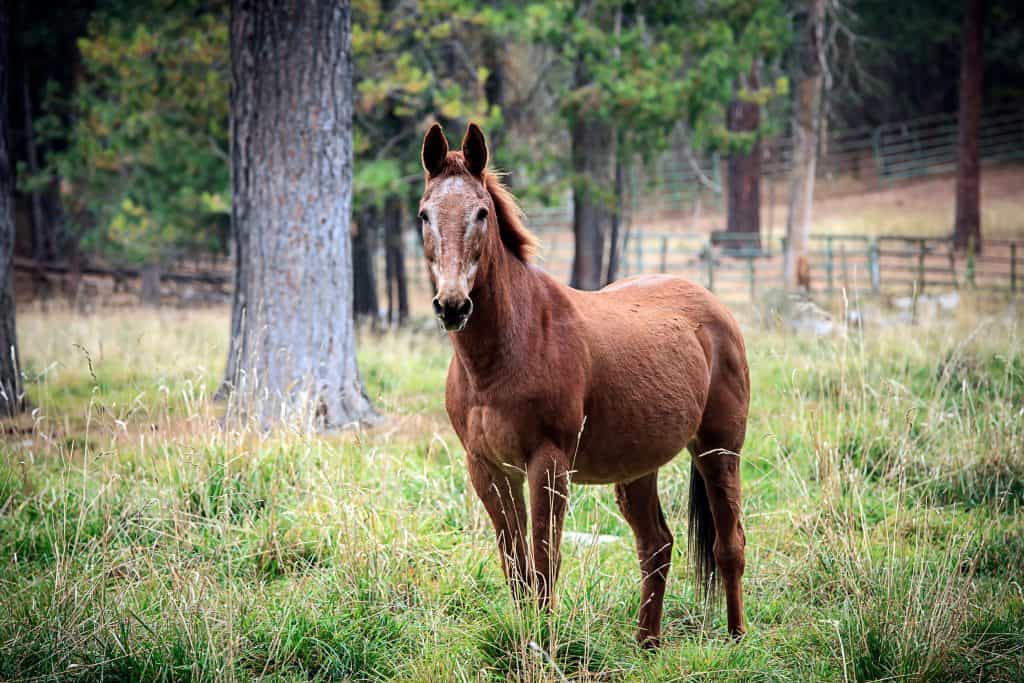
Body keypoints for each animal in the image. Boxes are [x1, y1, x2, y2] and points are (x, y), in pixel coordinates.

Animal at [417, 124, 753, 647]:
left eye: (482, 212)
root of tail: (716, 308)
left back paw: (736, 640)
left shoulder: (547, 464)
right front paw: (525, 640)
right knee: (656, 545)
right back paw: (647, 645)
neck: (505, 352)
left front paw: (543, 644)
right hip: (638, 466)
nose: (452, 306)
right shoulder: (488, 469)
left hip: (719, 450)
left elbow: (544, 563)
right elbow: (515, 566)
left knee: (728, 544)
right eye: (424, 214)